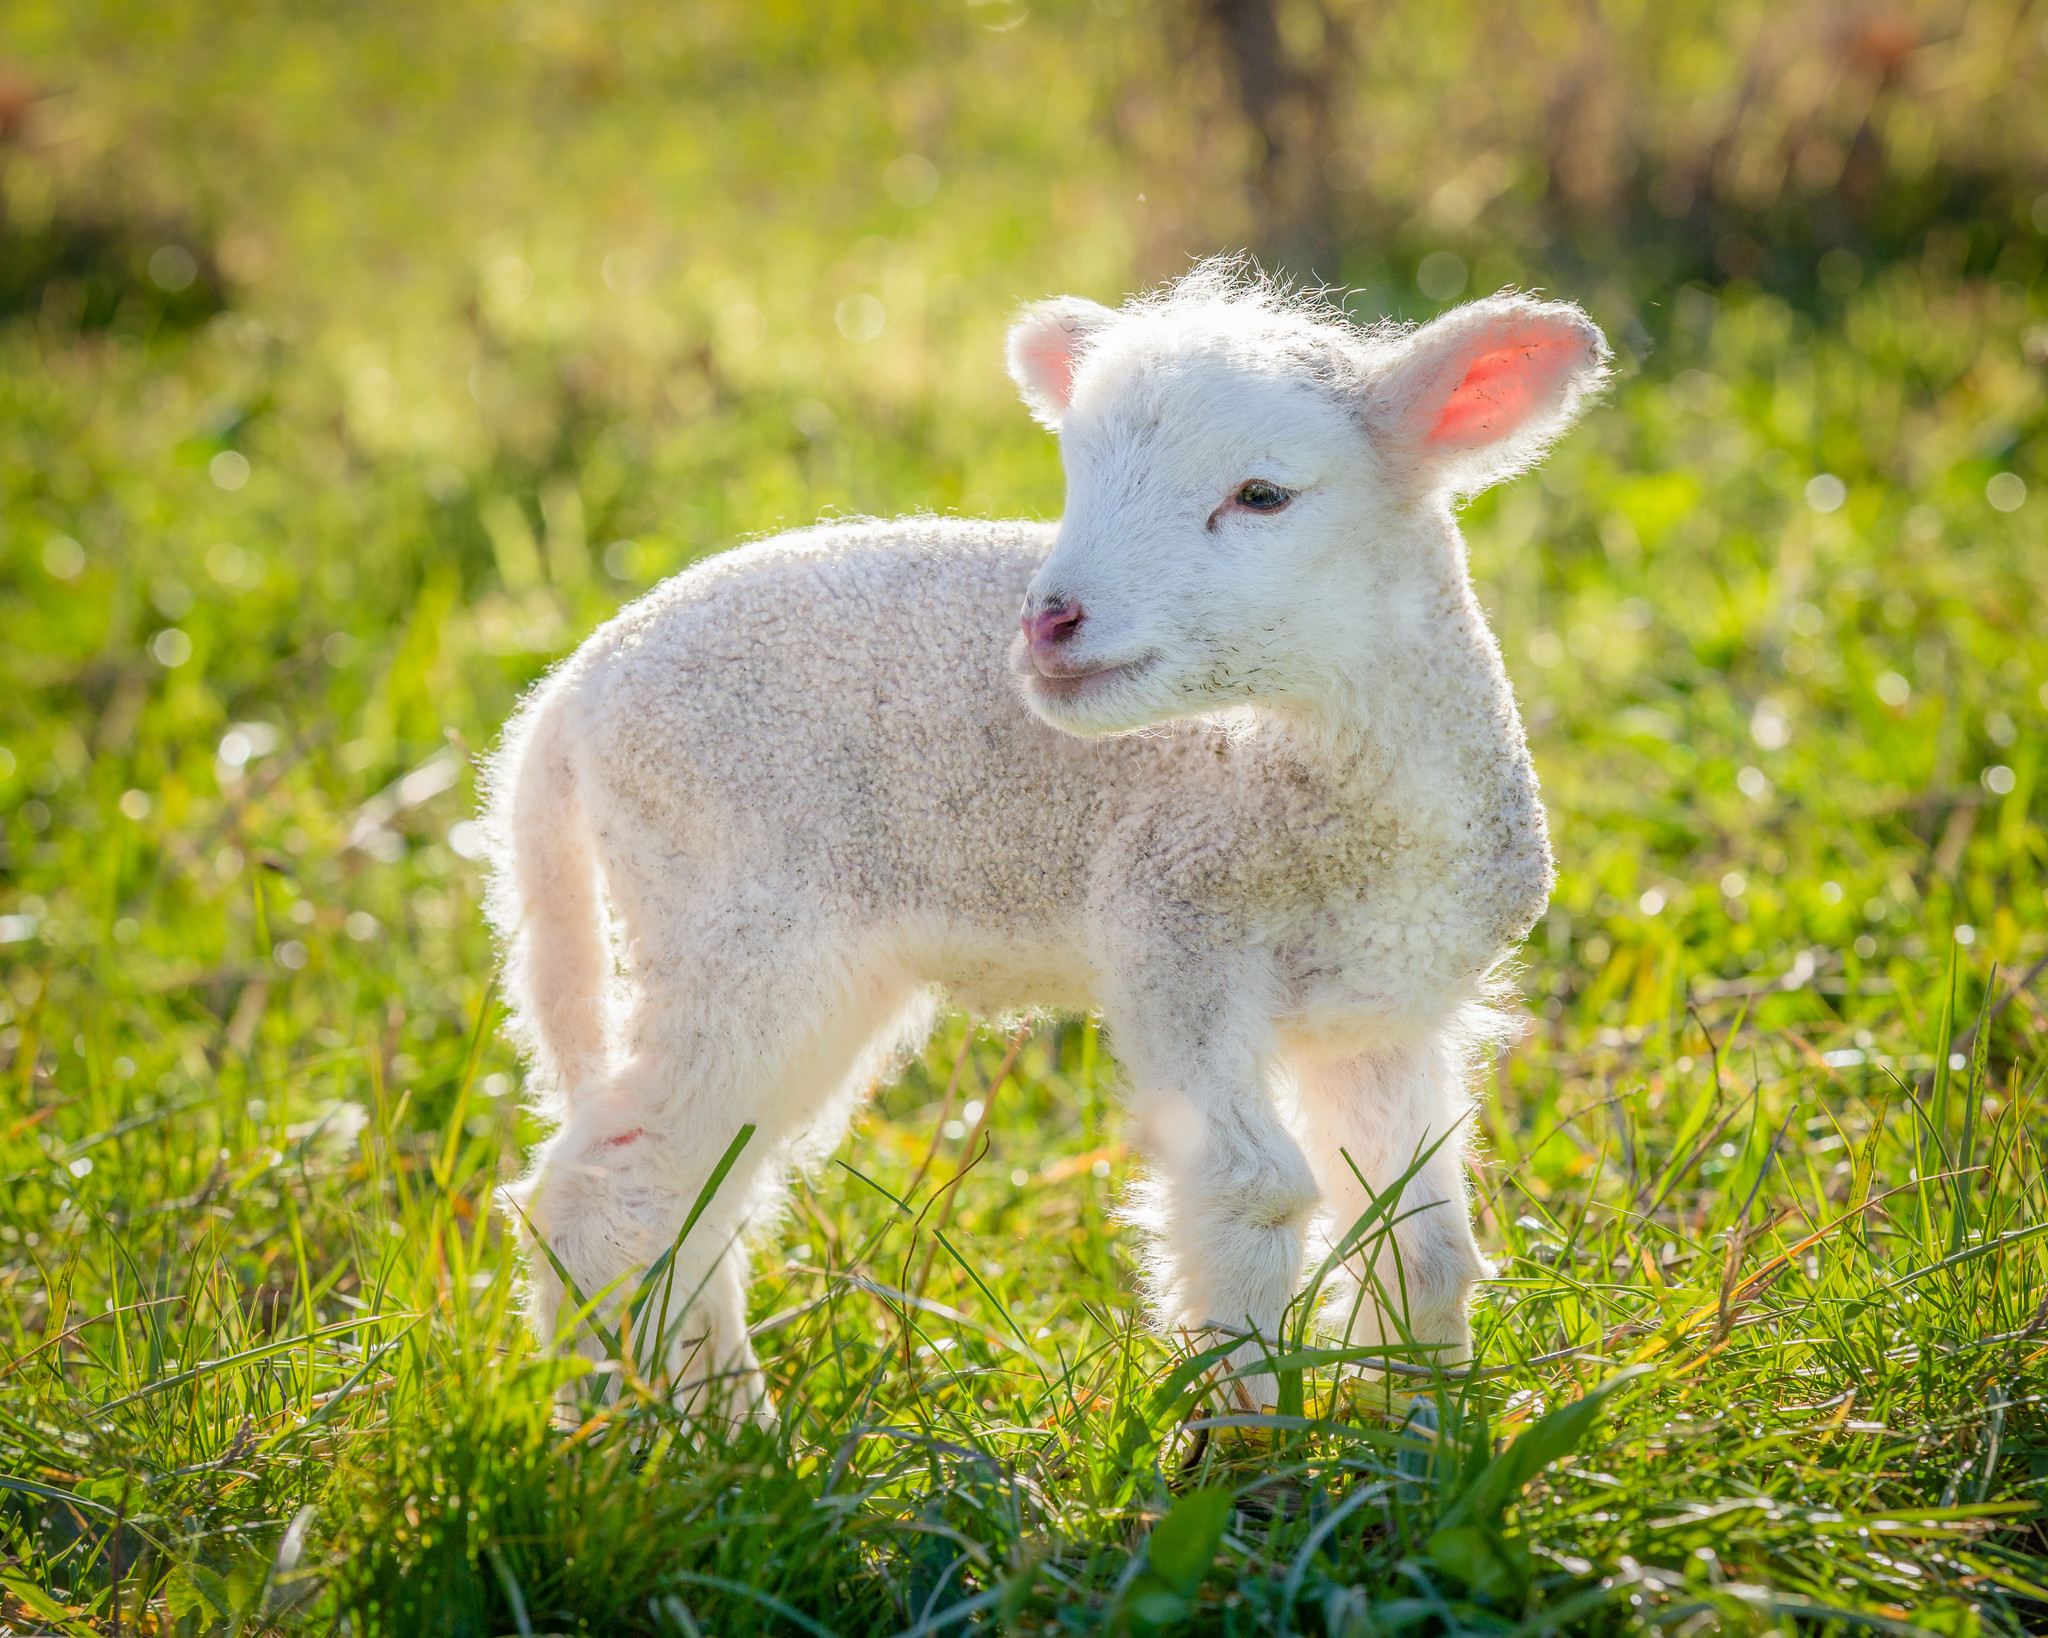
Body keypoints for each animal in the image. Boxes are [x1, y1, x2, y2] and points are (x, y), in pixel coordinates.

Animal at [479, 262, 1597, 1416]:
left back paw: (699, 1414)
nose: (1048, 621)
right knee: (617, 1181)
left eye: (1262, 496)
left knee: (688, 1192)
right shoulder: (1172, 929)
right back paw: (671, 1432)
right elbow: (1252, 1194)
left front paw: (1418, 1430)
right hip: (736, 919)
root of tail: (568, 694)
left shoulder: (1380, 1010)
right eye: (1074, 475)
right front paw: (1248, 1444)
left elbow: (1420, 1242)